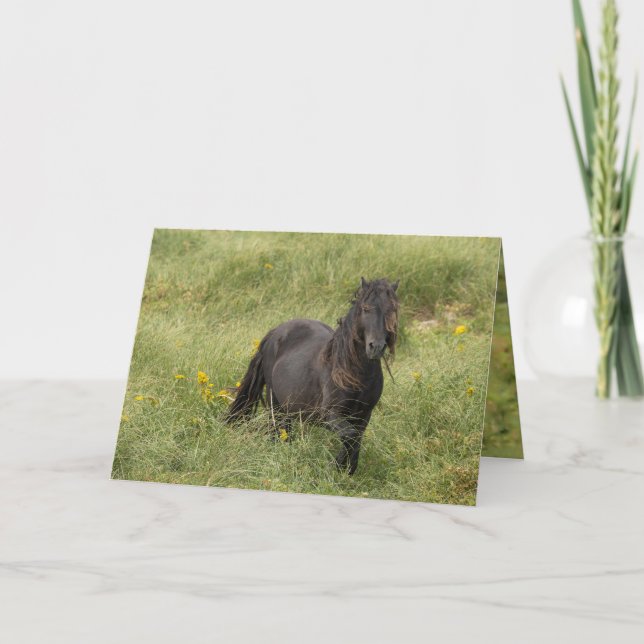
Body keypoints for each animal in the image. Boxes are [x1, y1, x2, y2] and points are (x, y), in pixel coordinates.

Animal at [226, 277, 399, 475]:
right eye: (366, 308)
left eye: (392, 310)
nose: (376, 347)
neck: (352, 373)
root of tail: (275, 332)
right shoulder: (329, 414)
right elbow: (351, 436)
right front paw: (337, 466)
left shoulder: (363, 415)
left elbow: (355, 439)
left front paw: (346, 468)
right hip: (275, 403)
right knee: (278, 430)